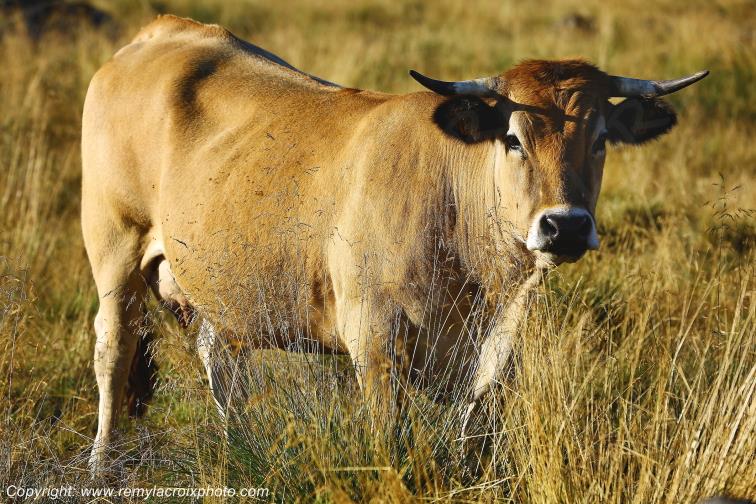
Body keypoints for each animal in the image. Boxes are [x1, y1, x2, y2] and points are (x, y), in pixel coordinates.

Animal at [81, 14, 707, 474]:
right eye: (512, 138)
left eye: (601, 140)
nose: (566, 225)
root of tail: (162, 32)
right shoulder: (375, 341)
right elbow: (389, 437)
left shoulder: (492, 355)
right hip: (115, 249)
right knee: (114, 351)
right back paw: (102, 464)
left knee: (220, 361)